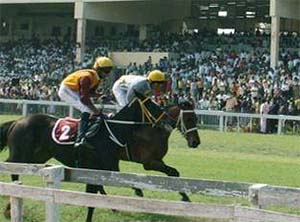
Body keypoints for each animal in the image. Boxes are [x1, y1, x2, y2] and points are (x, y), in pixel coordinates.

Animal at [1, 96, 200, 222]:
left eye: (196, 118)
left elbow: (172, 173)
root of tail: (17, 121)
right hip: (22, 155)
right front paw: (184, 197)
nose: (195, 142)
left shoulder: (113, 164)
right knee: (11, 168)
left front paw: (184, 196)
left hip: (39, 155)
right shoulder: (147, 162)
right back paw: (10, 207)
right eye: (190, 118)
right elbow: (171, 173)